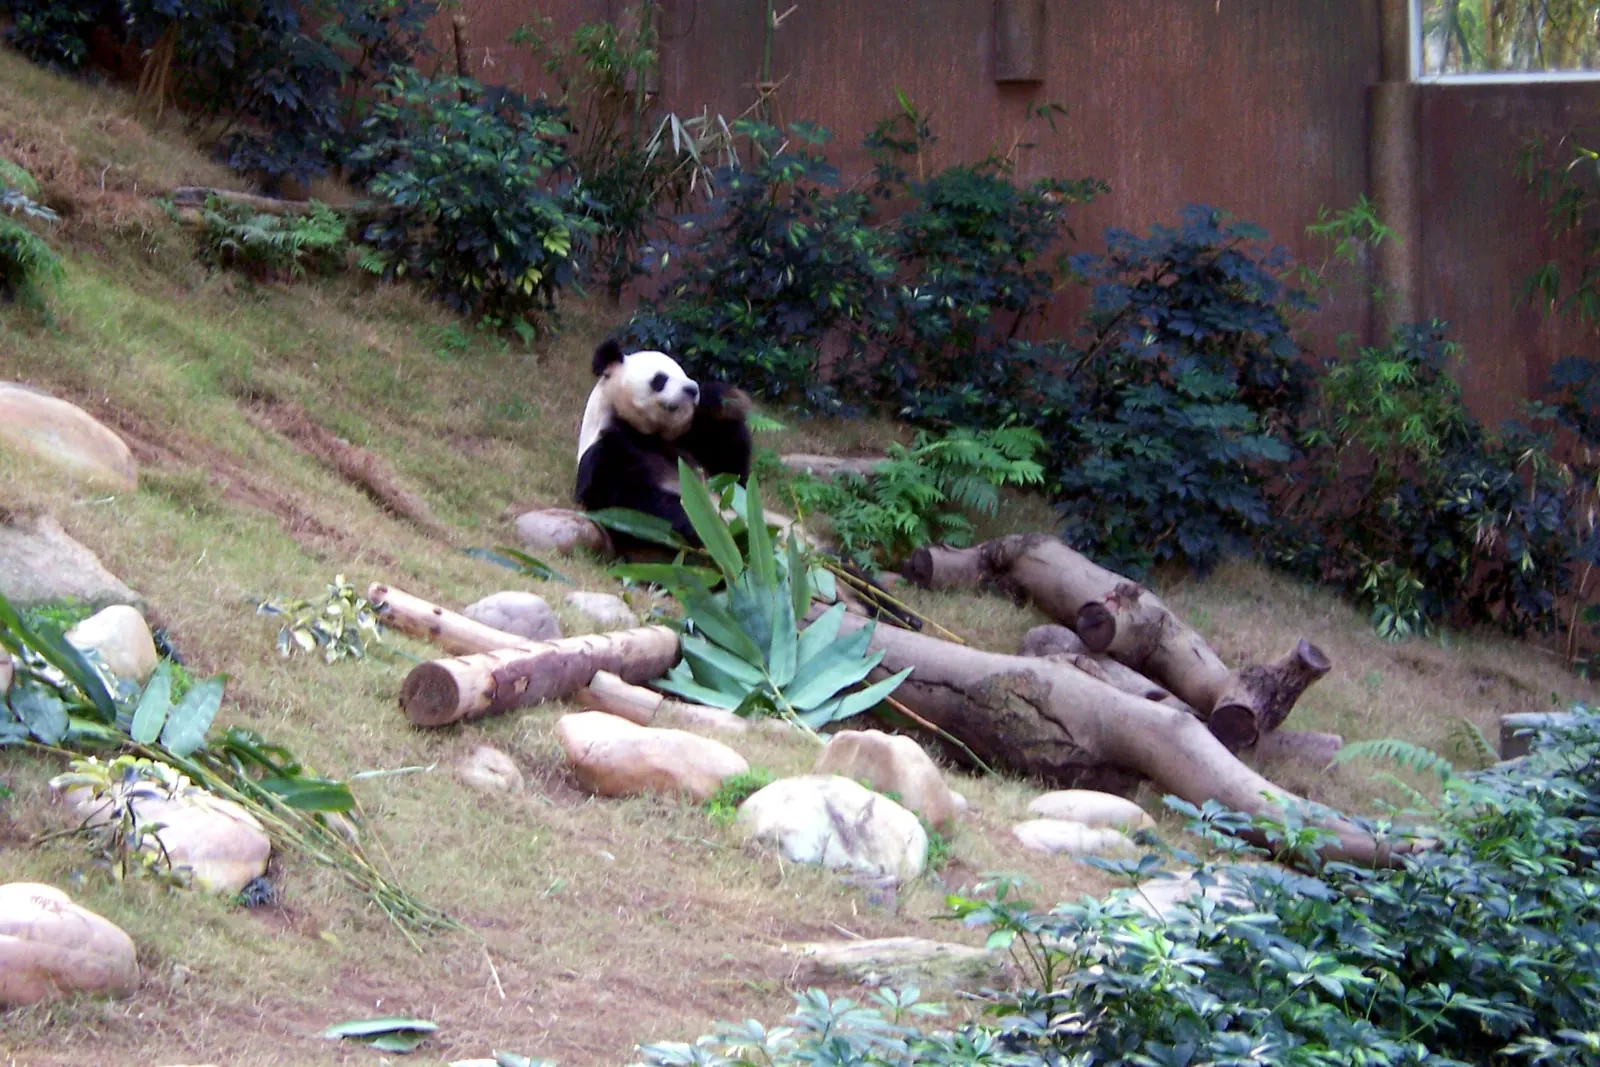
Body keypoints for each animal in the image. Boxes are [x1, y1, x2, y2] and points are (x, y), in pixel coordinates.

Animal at [575, 339, 753, 555]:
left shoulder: (689, 443)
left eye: (684, 373)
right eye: (661, 378)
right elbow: (622, 498)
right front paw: (702, 524)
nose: (692, 389)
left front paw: (720, 399)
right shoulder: (606, 449)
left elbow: (733, 473)